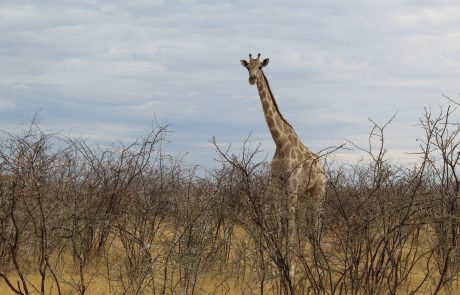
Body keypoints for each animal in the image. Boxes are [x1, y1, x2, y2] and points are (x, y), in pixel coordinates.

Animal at [239, 52, 326, 282]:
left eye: (260, 66)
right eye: (247, 67)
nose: (252, 78)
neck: (280, 141)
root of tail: (323, 167)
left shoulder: (292, 187)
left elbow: (291, 228)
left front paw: (292, 271)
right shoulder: (277, 187)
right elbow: (279, 226)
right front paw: (275, 270)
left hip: (318, 192)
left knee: (316, 224)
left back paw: (319, 266)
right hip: (305, 195)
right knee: (306, 226)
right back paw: (308, 263)